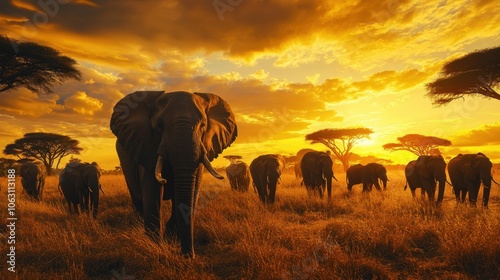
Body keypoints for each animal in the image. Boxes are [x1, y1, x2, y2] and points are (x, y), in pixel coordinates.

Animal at [110, 91, 235, 258]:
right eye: (159, 126)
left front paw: (171, 239)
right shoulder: (146, 148)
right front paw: (156, 246)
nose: (189, 256)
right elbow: (152, 193)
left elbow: (191, 194)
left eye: (203, 125)